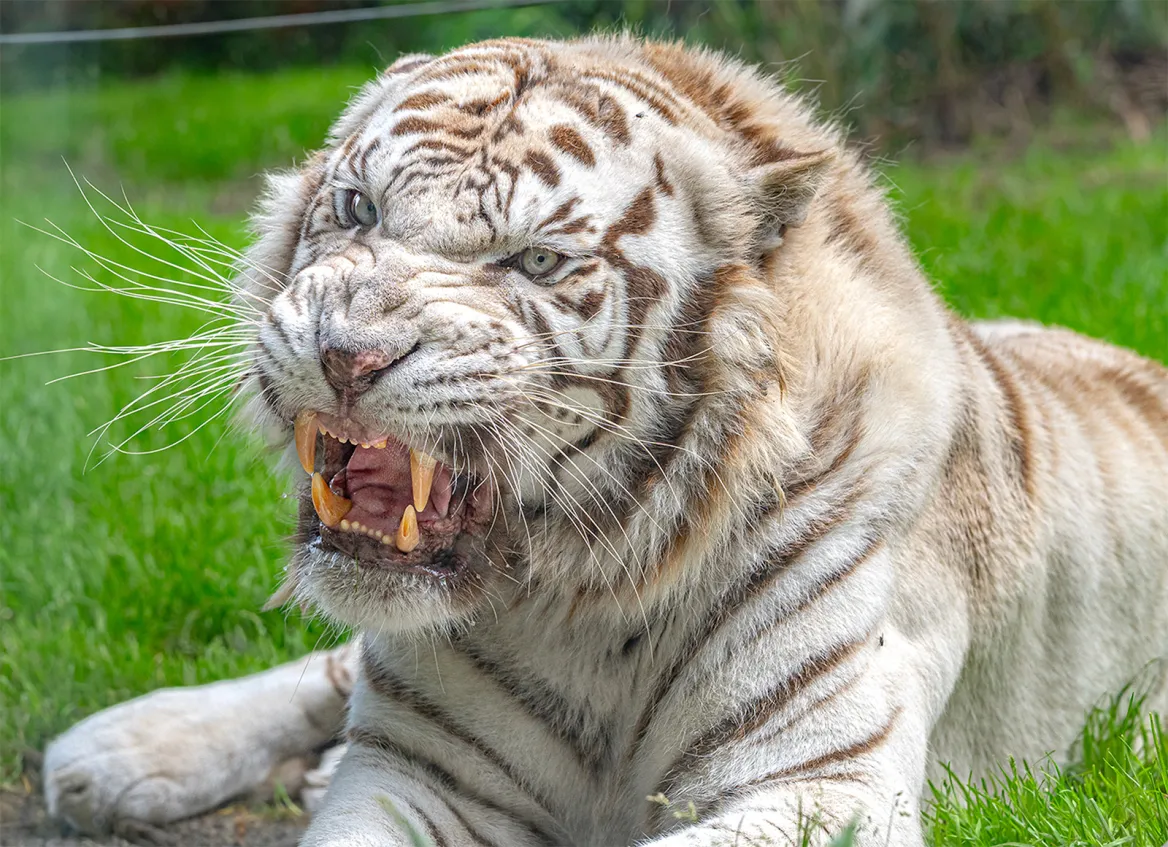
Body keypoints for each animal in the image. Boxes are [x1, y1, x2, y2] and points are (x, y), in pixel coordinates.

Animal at [42, 35, 1168, 847]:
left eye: (536, 261)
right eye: (356, 208)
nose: (348, 354)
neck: (585, 603)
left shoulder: (821, 779)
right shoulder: (416, 765)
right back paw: (113, 750)